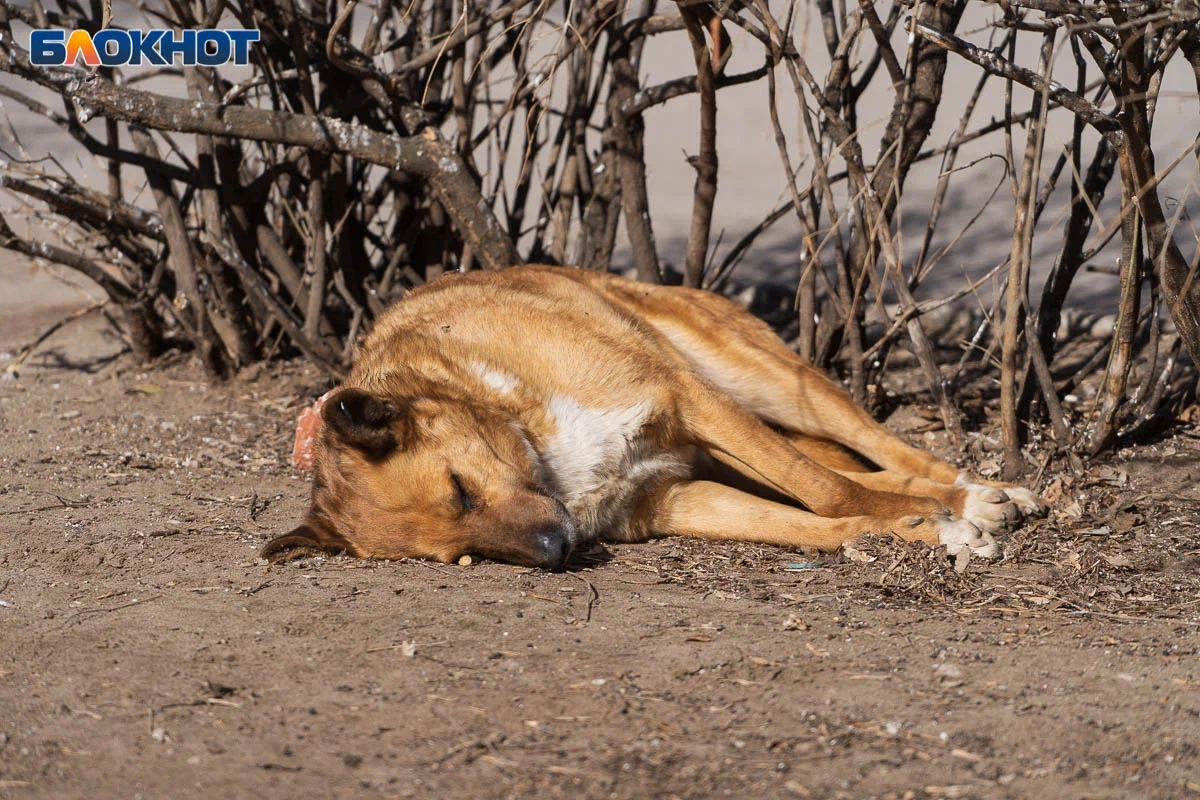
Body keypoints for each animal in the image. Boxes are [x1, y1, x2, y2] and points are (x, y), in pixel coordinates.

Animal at [265, 267, 1041, 568]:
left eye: (460, 488)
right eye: (465, 555)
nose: (557, 552)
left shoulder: (681, 399)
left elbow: (827, 491)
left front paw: (946, 516)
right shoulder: (673, 498)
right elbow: (818, 521)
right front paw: (918, 532)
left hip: (762, 385)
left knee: (874, 449)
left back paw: (974, 489)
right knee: (847, 469)